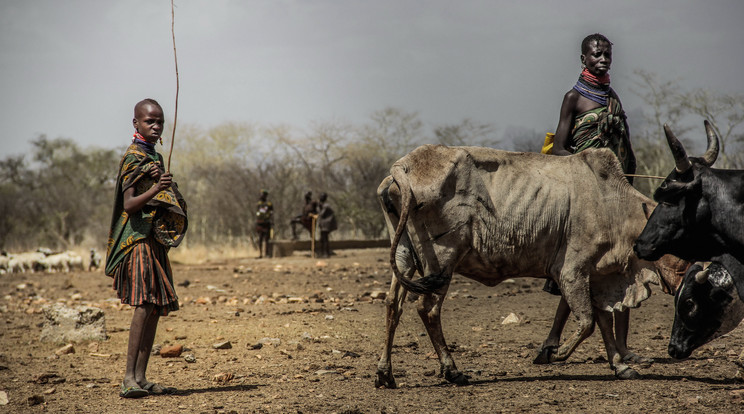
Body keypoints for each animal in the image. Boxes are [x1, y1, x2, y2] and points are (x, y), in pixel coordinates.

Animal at [378, 144, 684, 386]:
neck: (614, 206)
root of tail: (403, 167)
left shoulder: (595, 277)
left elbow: (603, 323)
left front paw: (620, 366)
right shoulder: (572, 272)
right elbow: (587, 323)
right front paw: (554, 353)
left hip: (404, 255)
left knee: (394, 304)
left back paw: (385, 374)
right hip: (442, 260)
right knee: (427, 309)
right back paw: (452, 371)